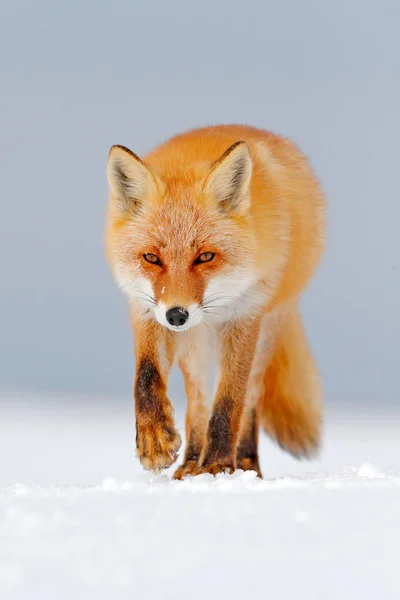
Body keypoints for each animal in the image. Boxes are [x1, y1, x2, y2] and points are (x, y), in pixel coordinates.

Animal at [106, 123, 324, 478]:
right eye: (151, 258)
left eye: (205, 256)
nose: (177, 315)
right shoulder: (146, 310)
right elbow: (146, 376)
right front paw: (154, 439)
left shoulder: (246, 315)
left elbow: (230, 400)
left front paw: (218, 465)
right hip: (195, 345)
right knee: (197, 402)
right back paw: (190, 462)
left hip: (267, 329)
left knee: (250, 397)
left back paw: (245, 463)